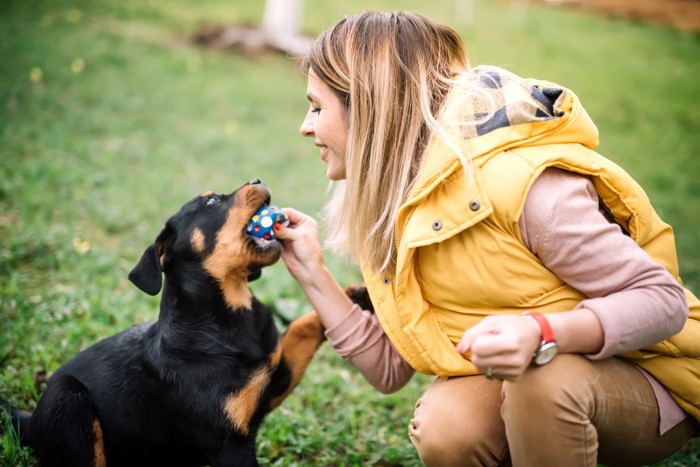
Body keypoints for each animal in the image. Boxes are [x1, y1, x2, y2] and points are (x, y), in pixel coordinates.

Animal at [2, 180, 328, 467]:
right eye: (211, 201)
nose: (257, 179)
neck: (229, 314)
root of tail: (31, 422)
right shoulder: (229, 445)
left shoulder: (274, 380)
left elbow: (303, 326)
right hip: (71, 405)